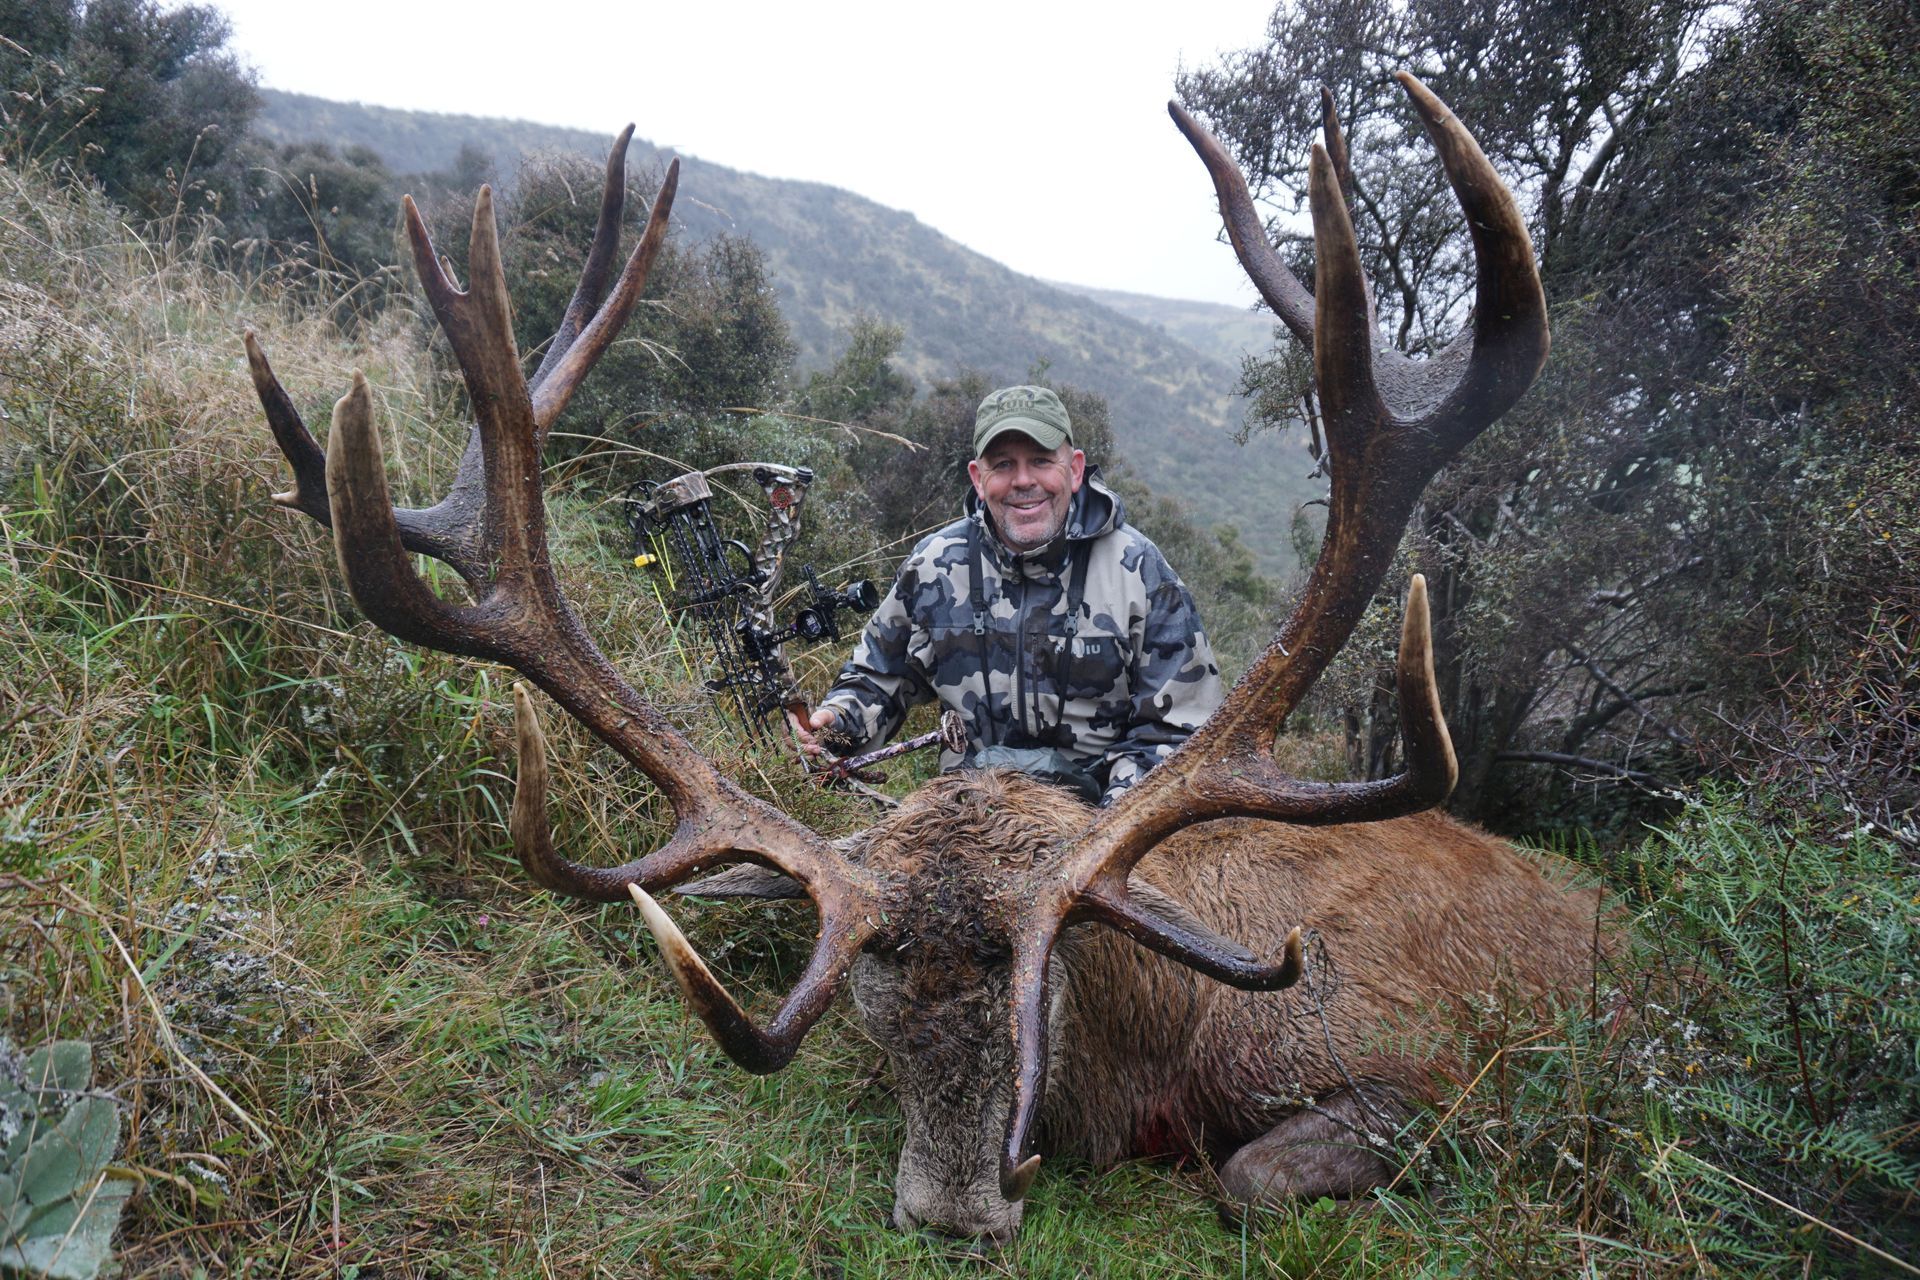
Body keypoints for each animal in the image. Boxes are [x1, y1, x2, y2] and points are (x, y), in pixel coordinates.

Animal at [245, 74, 1598, 1243]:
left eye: (1039, 987)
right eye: (873, 1001)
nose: (954, 1209)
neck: (1170, 1043)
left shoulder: (1433, 1062)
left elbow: (1252, 1175)